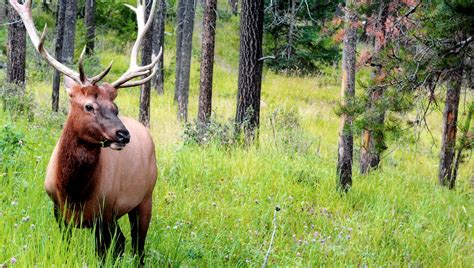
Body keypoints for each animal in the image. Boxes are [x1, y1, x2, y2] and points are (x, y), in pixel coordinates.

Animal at [8, 0, 161, 262]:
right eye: (89, 106)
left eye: (115, 107)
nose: (123, 135)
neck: (74, 191)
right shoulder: (59, 212)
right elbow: (68, 247)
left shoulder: (105, 212)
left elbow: (104, 252)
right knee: (124, 242)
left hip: (145, 198)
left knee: (137, 246)